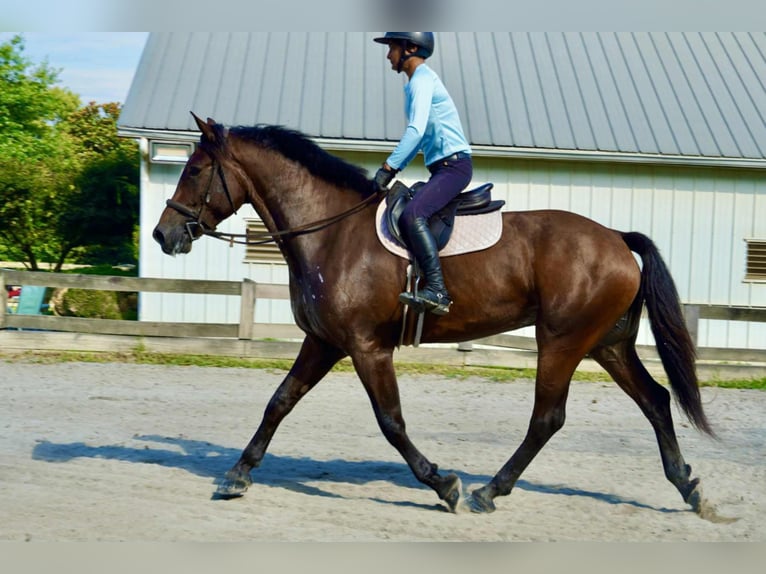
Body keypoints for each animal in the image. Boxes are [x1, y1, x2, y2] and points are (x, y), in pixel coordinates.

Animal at [153, 112, 718, 518]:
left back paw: (489, 491)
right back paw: (689, 487)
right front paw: (237, 475)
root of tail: (618, 239)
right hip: (606, 344)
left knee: (548, 418)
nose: (162, 234)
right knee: (655, 400)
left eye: (195, 170)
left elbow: (391, 421)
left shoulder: (366, 347)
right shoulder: (325, 342)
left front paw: (443, 483)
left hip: (561, 342)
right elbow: (279, 402)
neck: (331, 231)